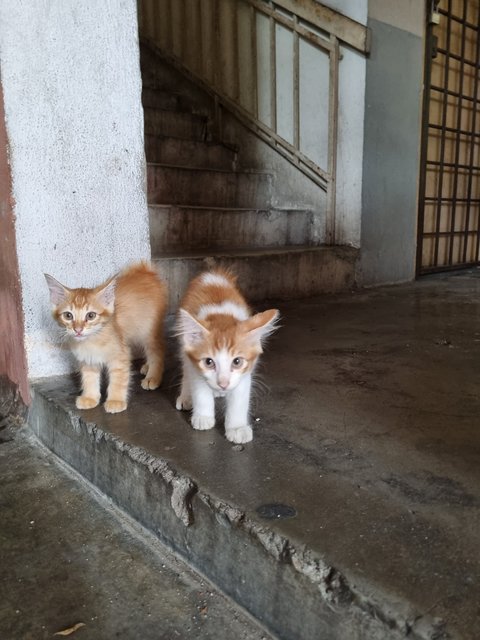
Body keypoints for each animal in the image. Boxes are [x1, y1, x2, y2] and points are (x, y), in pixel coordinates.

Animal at [45, 262, 168, 416]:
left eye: (91, 315)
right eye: (68, 315)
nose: (78, 330)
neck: (92, 340)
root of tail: (145, 271)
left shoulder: (120, 356)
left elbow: (118, 380)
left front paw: (115, 401)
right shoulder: (88, 360)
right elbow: (89, 379)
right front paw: (90, 397)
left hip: (148, 333)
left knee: (158, 351)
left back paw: (153, 376)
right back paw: (147, 367)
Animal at [175, 268, 278, 442]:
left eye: (236, 361)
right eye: (209, 362)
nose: (223, 384)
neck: (221, 315)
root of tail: (212, 274)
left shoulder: (244, 374)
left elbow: (239, 400)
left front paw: (237, 428)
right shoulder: (195, 365)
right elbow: (200, 389)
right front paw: (203, 416)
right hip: (184, 344)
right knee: (185, 368)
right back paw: (187, 396)